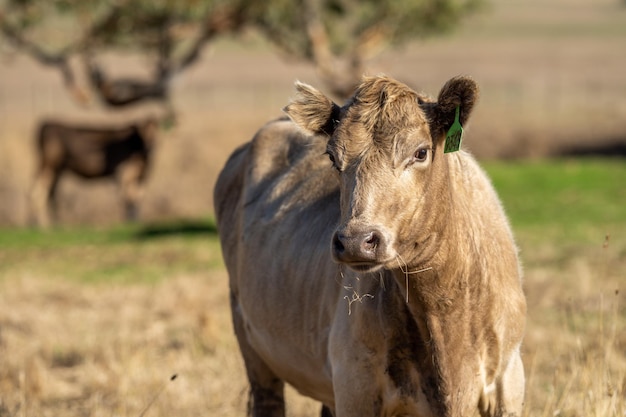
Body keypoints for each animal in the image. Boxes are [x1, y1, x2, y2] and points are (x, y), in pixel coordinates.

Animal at [30, 117, 160, 228]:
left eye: (157, 130)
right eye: (143, 132)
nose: (151, 144)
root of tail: (46, 124)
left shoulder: (141, 176)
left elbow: (138, 196)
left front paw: (136, 220)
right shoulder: (122, 172)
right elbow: (128, 197)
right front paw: (129, 222)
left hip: (57, 169)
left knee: (52, 193)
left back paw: (55, 224)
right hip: (48, 165)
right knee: (38, 192)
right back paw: (44, 226)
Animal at [212, 75, 524, 416]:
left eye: (421, 152)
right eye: (332, 157)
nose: (355, 242)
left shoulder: (509, 382)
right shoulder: (355, 384)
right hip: (251, 343)